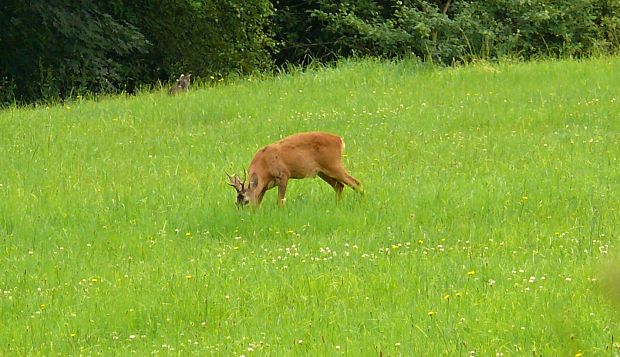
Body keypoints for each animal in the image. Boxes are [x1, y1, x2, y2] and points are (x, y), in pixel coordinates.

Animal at [228, 132, 364, 207]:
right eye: (236, 202)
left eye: (246, 201)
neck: (264, 165)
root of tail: (339, 139)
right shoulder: (264, 186)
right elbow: (259, 201)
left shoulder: (284, 174)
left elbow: (280, 201)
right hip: (322, 171)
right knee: (339, 186)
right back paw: (337, 205)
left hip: (334, 164)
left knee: (356, 183)